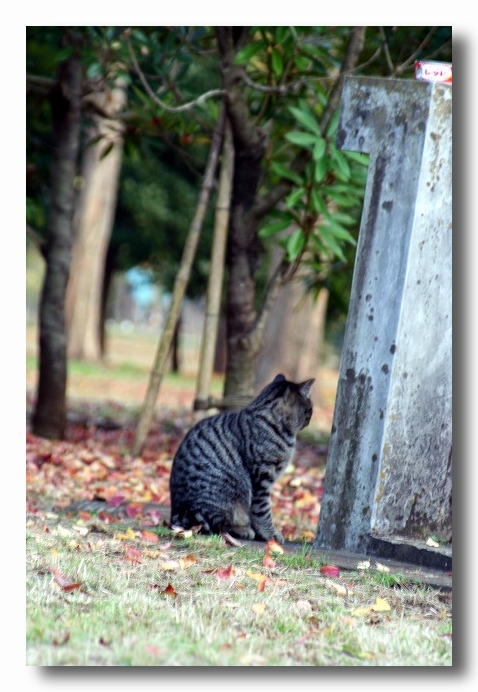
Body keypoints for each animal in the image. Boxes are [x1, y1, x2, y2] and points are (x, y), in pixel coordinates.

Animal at [168, 376, 314, 544]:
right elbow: (263, 512)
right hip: (225, 492)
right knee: (217, 526)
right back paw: (242, 530)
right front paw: (270, 535)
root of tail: (176, 515)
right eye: (310, 410)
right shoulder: (262, 479)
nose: (309, 420)